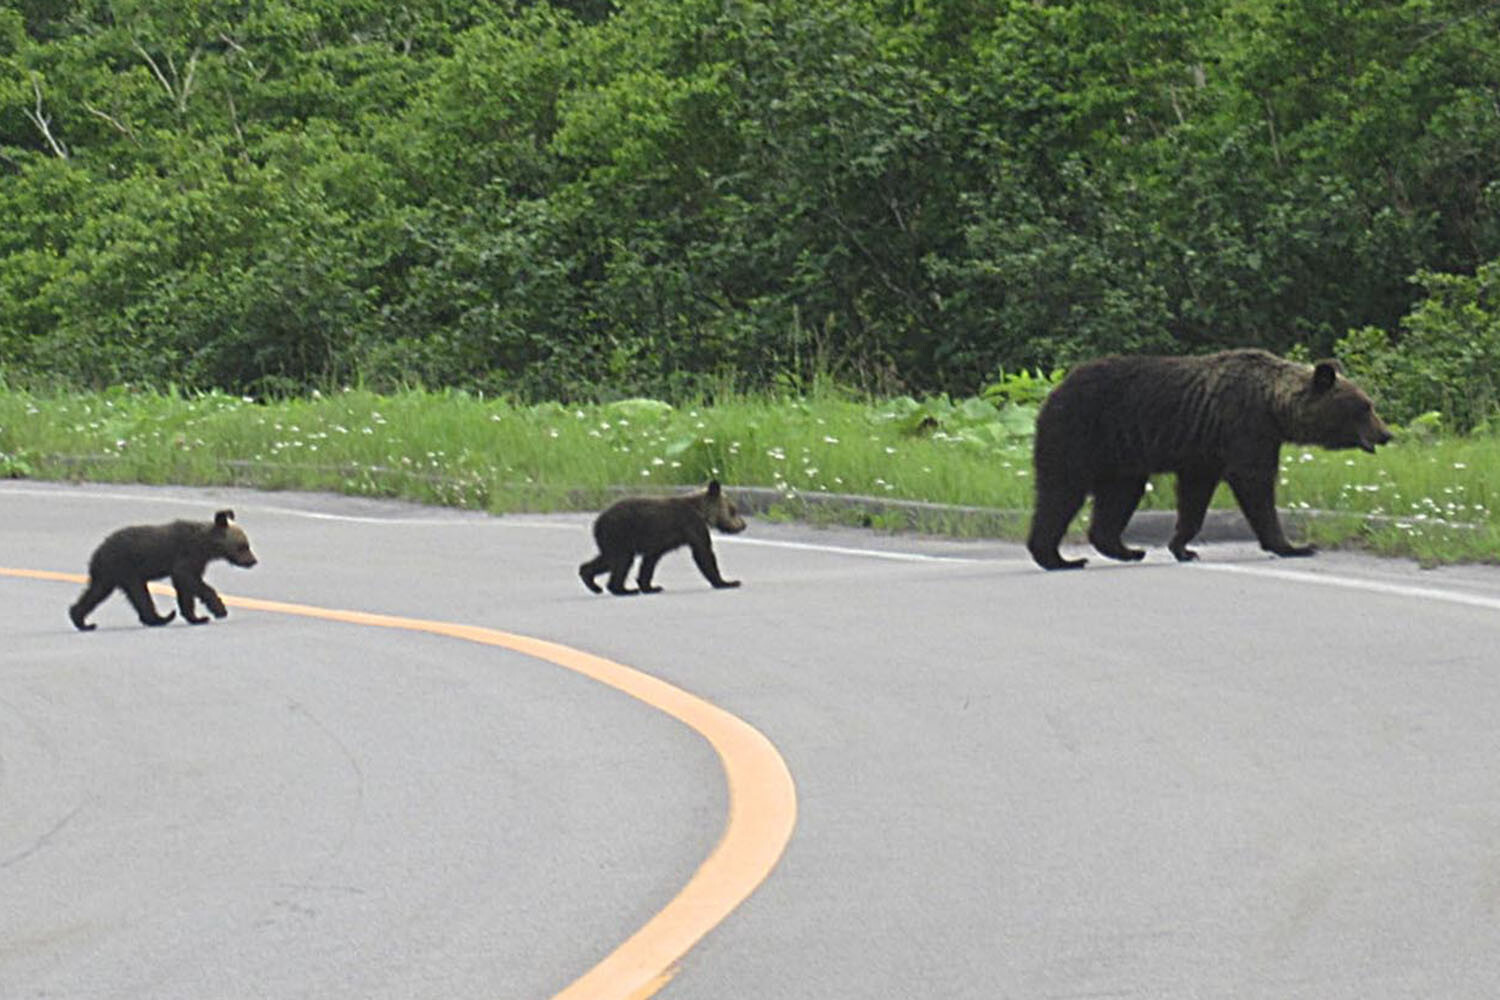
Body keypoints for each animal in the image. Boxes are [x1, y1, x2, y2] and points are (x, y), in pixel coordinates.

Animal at [70, 512, 259, 629]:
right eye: (243, 546)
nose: (253, 561)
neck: (205, 545)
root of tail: (97, 552)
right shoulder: (188, 555)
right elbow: (189, 579)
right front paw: (219, 609)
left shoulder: (196, 562)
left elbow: (185, 588)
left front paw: (197, 617)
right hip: (125, 568)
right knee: (139, 594)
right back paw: (160, 618)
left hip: (109, 574)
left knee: (96, 593)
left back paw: (81, 620)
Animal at [585, 479, 750, 593]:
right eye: (733, 510)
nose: (743, 525)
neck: (701, 511)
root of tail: (597, 522)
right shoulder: (692, 525)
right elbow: (703, 553)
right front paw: (727, 582)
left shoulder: (657, 541)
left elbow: (649, 562)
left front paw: (651, 587)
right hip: (619, 533)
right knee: (621, 561)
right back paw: (622, 589)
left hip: (612, 539)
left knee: (607, 560)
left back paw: (592, 582)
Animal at [1026, 350, 1386, 569]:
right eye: (1365, 407)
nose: (1385, 434)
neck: (1274, 407)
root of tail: (1054, 391)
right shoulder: (1246, 428)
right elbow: (1254, 482)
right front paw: (1292, 545)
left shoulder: (1204, 452)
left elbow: (1195, 497)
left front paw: (1183, 547)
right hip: (1079, 434)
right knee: (1061, 491)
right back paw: (1059, 558)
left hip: (1121, 458)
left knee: (1119, 496)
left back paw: (1126, 549)